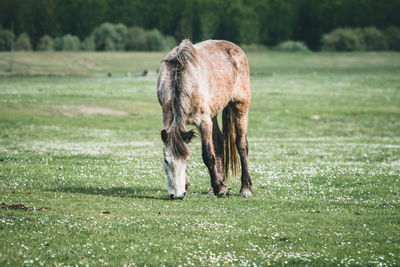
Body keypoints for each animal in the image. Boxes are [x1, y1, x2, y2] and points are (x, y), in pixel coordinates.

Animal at [158, 38, 252, 200]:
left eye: (186, 160)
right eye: (166, 160)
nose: (177, 196)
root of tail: (235, 48)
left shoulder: (204, 122)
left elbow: (208, 155)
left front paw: (220, 189)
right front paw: (218, 187)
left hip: (240, 106)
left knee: (241, 144)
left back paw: (245, 188)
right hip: (213, 113)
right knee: (219, 142)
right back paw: (218, 185)